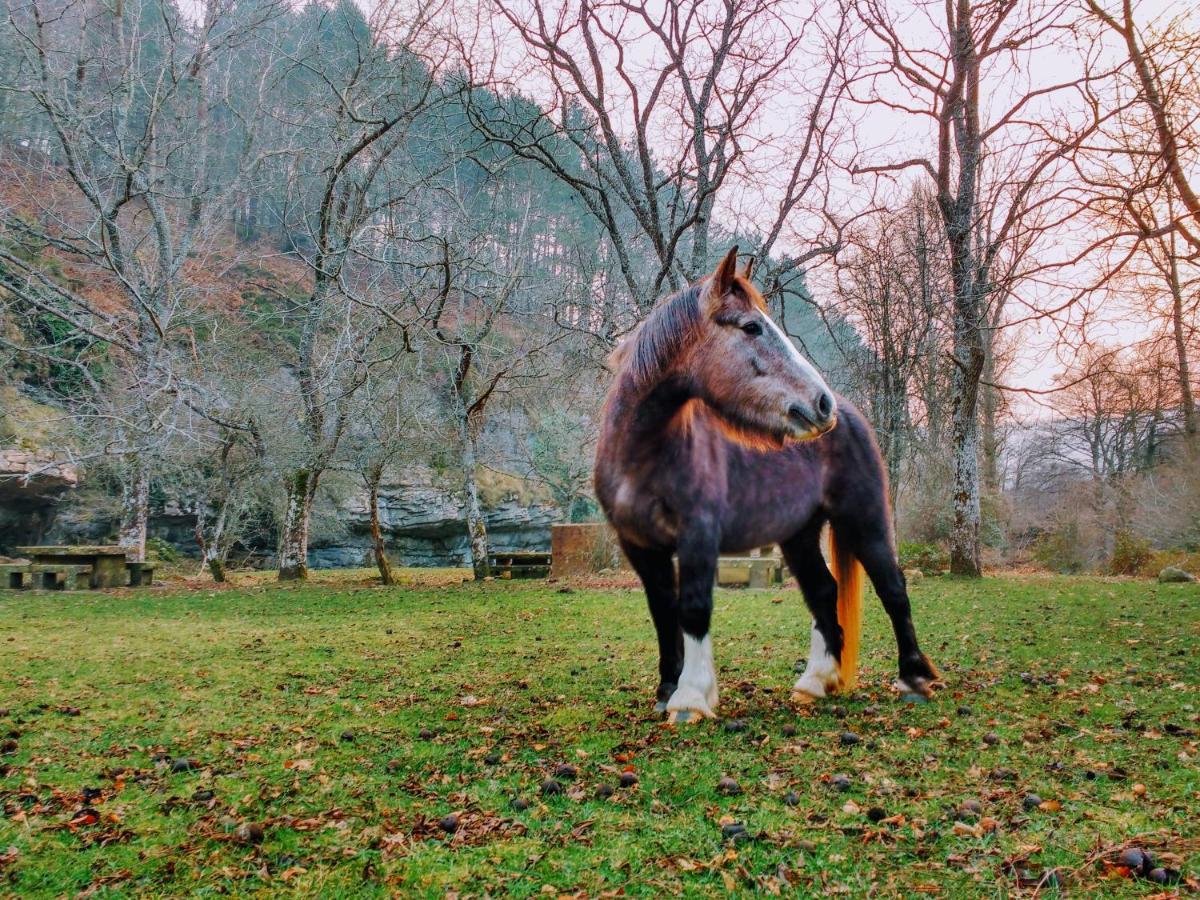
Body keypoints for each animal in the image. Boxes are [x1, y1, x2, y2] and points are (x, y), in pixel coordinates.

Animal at [595, 247, 940, 724]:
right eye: (751, 327)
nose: (821, 403)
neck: (644, 454)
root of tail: (851, 416)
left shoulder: (698, 536)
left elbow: (693, 608)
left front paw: (691, 698)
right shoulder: (640, 546)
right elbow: (663, 611)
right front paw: (667, 689)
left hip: (863, 520)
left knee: (892, 587)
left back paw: (914, 678)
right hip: (798, 536)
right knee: (823, 591)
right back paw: (816, 682)